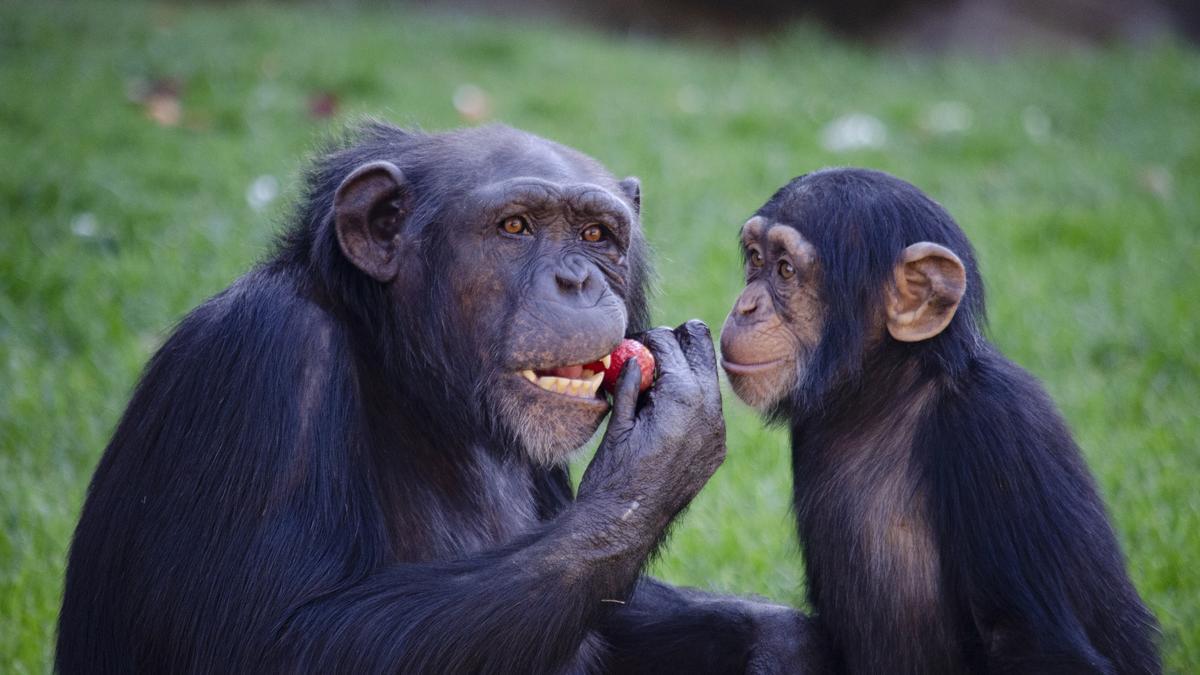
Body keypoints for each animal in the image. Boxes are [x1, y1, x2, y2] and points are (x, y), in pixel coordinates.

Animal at [715, 169, 1156, 672]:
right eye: (756, 259)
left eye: (786, 270)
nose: (746, 305)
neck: (884, 395)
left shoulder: (997, 429)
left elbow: (1041, 644)